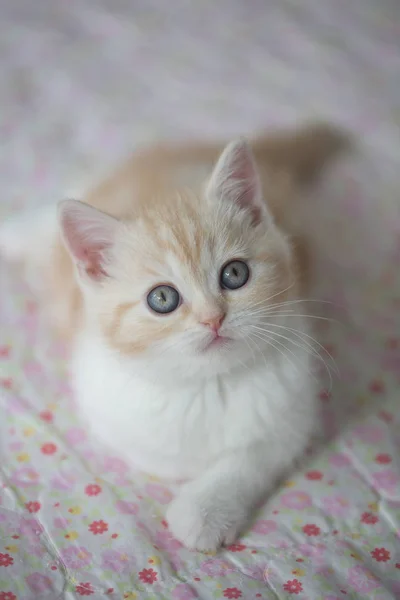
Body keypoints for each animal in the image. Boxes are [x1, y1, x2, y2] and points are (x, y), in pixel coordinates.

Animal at [0, 124, 346, 552]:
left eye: (235, 274)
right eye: (162, 299)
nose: (213, 318)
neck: (206, 386)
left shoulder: (292, 414)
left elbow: (250, 458)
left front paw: (204, 510)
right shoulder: (108, 410)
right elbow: (158, 457)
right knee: (55, 210)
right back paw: (16, 234)